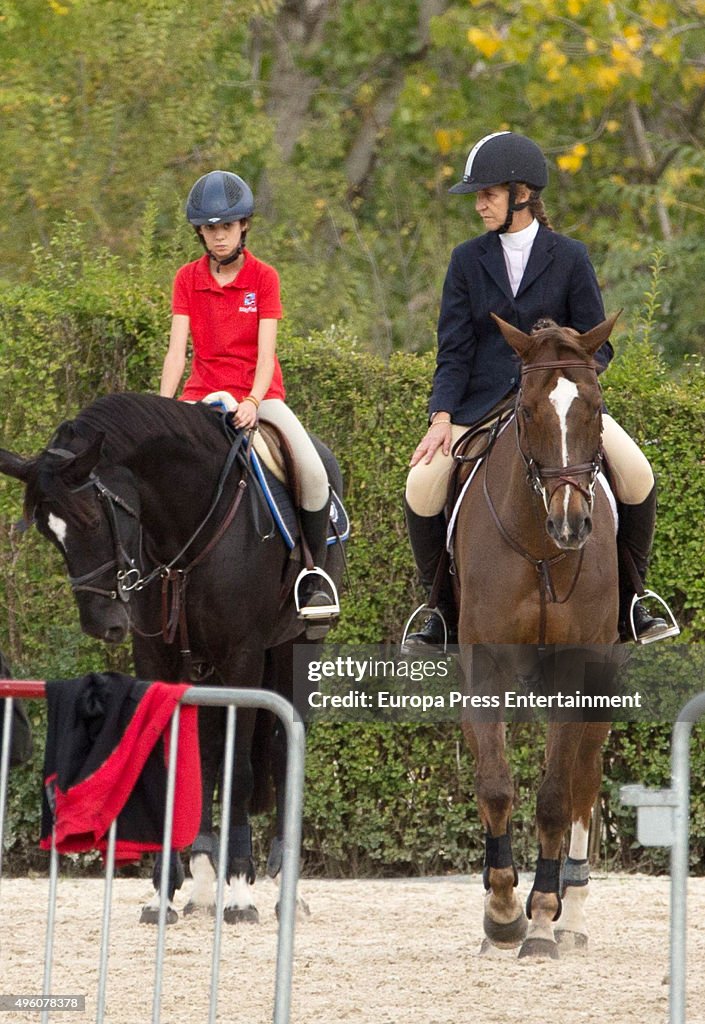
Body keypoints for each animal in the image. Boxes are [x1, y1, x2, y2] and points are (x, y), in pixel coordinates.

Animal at [0, 391, 344, 921]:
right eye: (48, 534)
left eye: (91, 519)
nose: (101, 623)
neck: (187, 525)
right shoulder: (158, 656)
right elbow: (174, 761)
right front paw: (165, 890)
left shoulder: (243, 655)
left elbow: (240, 771)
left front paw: (239, 891)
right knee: (208, 746)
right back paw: (204, 878)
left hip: (293, 648)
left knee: (283, 747)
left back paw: (282, 885)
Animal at [454, 313, 618, 958]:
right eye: (526, 411)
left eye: (595, 407)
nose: (571, 524)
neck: (541, 550)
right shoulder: (483, 666)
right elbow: (496, 784)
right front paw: (502, 913)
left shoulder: (576, 670)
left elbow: (554, 797)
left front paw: (543, 917)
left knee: (582, 781)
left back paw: (569, 914)